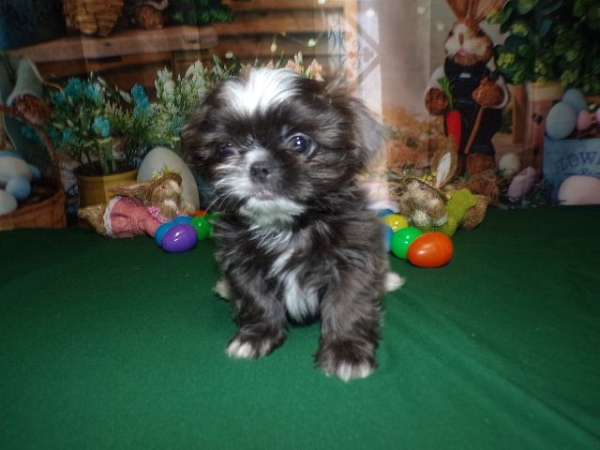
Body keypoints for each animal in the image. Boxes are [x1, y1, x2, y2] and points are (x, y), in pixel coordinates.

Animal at [183, 68, 404, 382]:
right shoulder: (241, 261)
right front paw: (257, 336)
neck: (286, 227)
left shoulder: (354, 256)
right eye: (225, 148)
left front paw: (346, 352)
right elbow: (256, 298)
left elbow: (348, 303)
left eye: (300, 142)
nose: (258, 166)